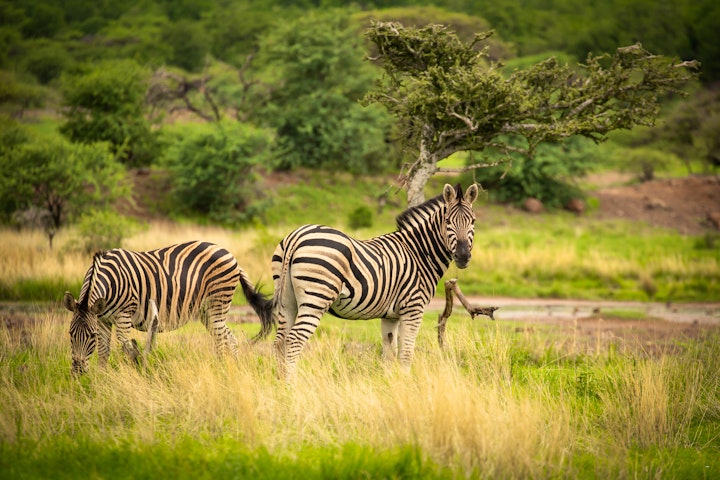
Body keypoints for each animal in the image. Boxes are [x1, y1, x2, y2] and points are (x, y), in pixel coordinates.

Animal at [63, 240, 272, 376]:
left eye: (91, 336)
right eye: (71, 334)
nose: (78, 373)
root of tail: (229, 253)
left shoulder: (124, 314)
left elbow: (124, 343)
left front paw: (134, 368)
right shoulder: (102, 319)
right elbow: (104, 351)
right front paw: (102, 378)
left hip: (217, 303)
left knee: (221, 339)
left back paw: (222, 372)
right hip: (207, 311)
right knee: (229, 338)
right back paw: (233, 370)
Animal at [253, 182, 478, 380]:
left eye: (473, 221)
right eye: (448, 221)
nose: (463, 256)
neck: (419, 253)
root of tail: (296, 236)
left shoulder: (391, 315)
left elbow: (390, 353)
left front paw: (391, 385)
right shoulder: (413, 308)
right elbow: (406, 353)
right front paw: (406, 384)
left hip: (287, 300)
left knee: (280, 342)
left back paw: (280, 384)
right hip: (316, 298)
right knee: (294, 340)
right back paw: (292, 386)